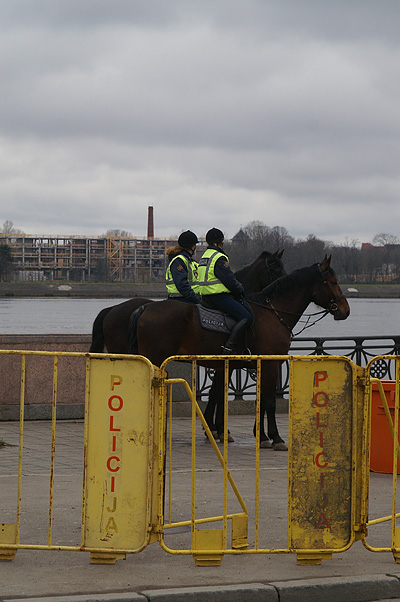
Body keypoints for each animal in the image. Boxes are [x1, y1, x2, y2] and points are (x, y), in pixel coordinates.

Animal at [129, 255, 350, 448]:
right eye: (333, 282)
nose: (345, 310)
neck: (272, 312)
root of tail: (145, 308)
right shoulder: (270, 363)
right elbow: (269, 401)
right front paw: (275, 437)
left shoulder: (258, 365)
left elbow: (259, 399)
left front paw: (260, 435)